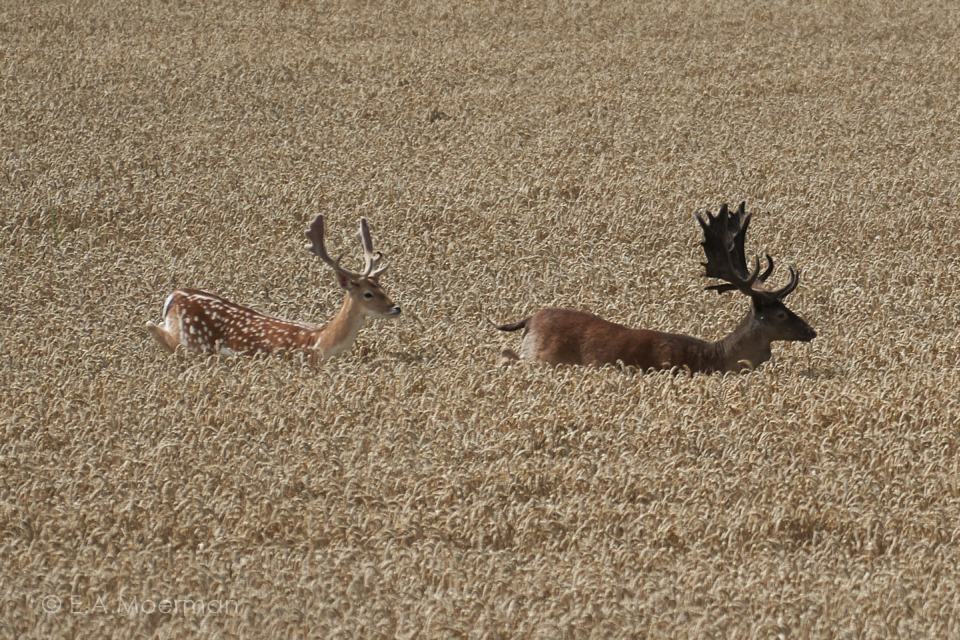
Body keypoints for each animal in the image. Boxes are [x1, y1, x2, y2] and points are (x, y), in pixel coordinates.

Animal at [144, 215, 400, 362]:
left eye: (383, 287)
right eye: (368, 294)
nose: (396, 308)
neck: (319, 342)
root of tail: (175, 296)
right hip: (194, 342)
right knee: (157, 331)